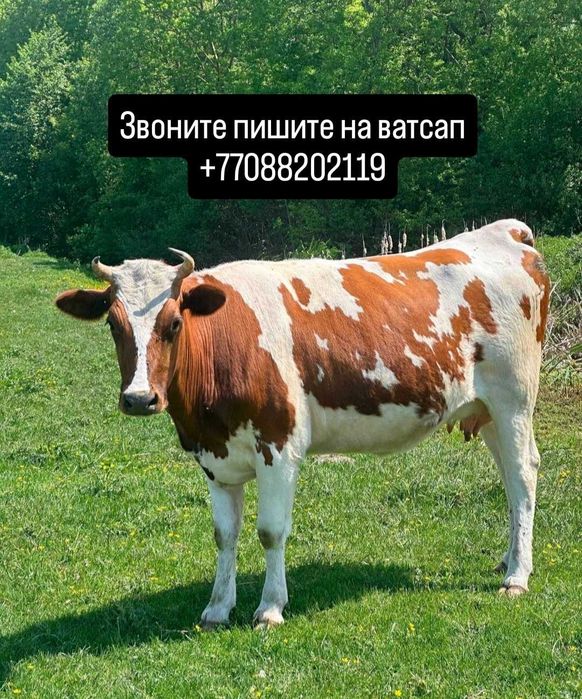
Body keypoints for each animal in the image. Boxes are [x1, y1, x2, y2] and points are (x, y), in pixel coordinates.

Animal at [55, 219, 550, 629]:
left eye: (174, 321)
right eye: (113, 326)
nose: (140, 398)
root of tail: (505, 231)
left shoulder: (280, 446)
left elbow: (270, 531)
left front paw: (270, 608)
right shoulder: (214, 458)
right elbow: (224, 535)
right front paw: (217, 607)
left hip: (514, 399)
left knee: (523, 476)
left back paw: (517, 576)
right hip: (486, 411)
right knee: (509, 482)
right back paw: (507, 560)